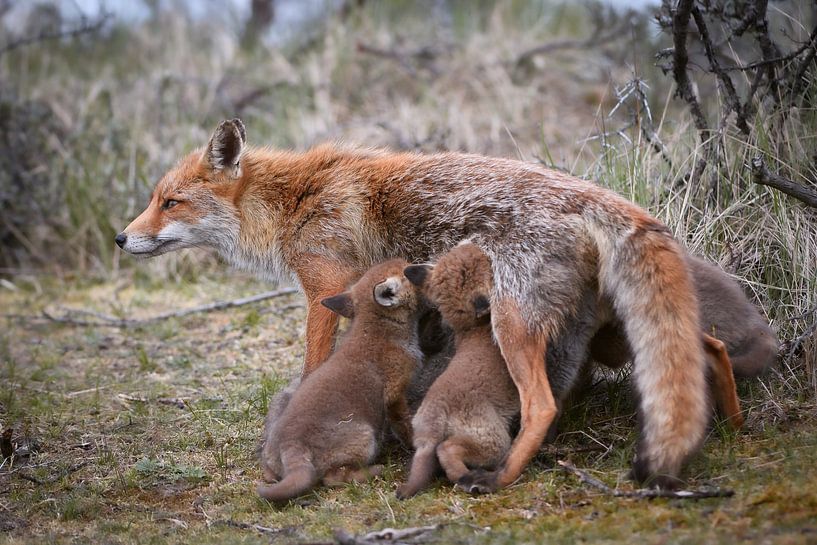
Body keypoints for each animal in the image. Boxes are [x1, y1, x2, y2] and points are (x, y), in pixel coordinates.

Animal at [256, 259, 422, 502]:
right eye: (404, 269)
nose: (413, 263)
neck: (376, 329)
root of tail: (291, 445)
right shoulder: (394, 394)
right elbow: (404, 424)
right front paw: (413, 443)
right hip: (365, 438)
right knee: (332, 478)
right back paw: (375, 471)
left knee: (270, 474)